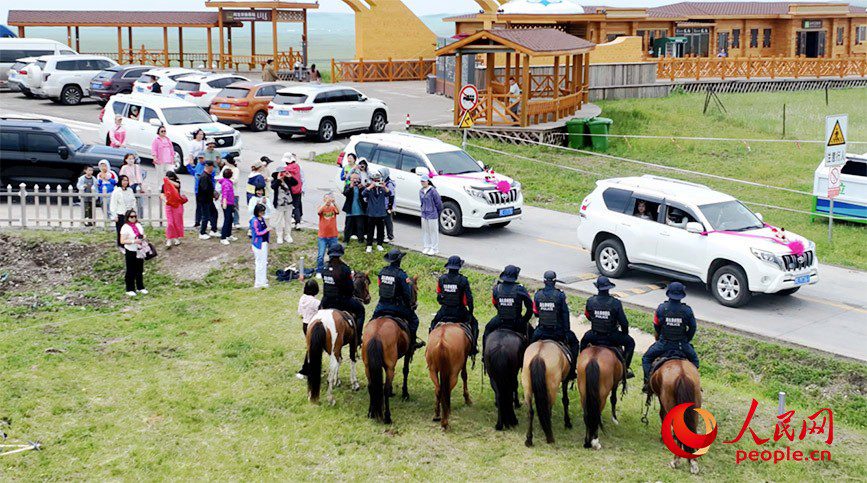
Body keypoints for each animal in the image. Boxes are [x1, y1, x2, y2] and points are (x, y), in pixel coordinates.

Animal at [362, 276, 420, 424]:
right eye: (415, 290)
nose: (414, 305)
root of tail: (376, 333)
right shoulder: (406, 354)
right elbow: (405, 371)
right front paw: (405, 393)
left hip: (368, 366)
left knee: (372, 386)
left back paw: (371, 412)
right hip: (389, 366)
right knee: (385, 388)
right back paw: (387, 416)